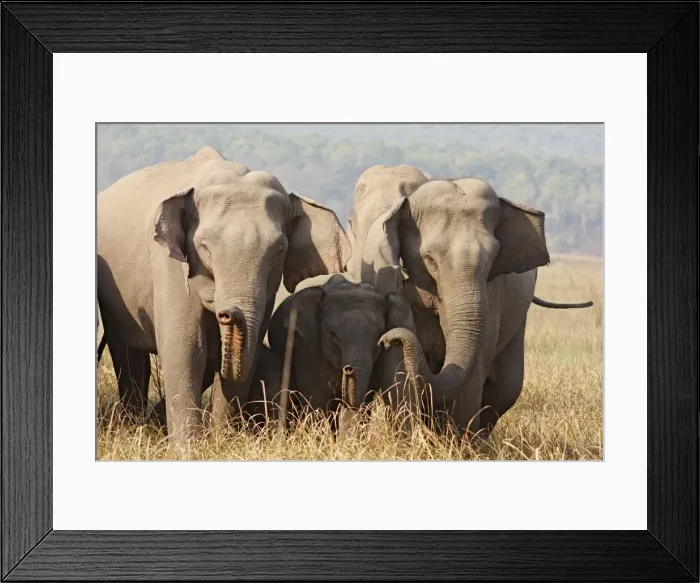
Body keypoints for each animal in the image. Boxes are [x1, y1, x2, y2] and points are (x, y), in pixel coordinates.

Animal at [97, 146, 351, 448]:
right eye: (204, 246)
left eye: (279, 249)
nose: (226, 313)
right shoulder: (168, 267)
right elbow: (186, 349)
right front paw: (187, 449)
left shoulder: (266, 292)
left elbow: (246, 353)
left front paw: (223, 442)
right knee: (127, 353)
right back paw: (133, 423)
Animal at [358, 173, 592, 437]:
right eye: (429, 260)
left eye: (493, 258)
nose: (387, 338)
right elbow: (397, 370)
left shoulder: (492, 296)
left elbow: (472, 376)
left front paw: (456, 443)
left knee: (506, 388)